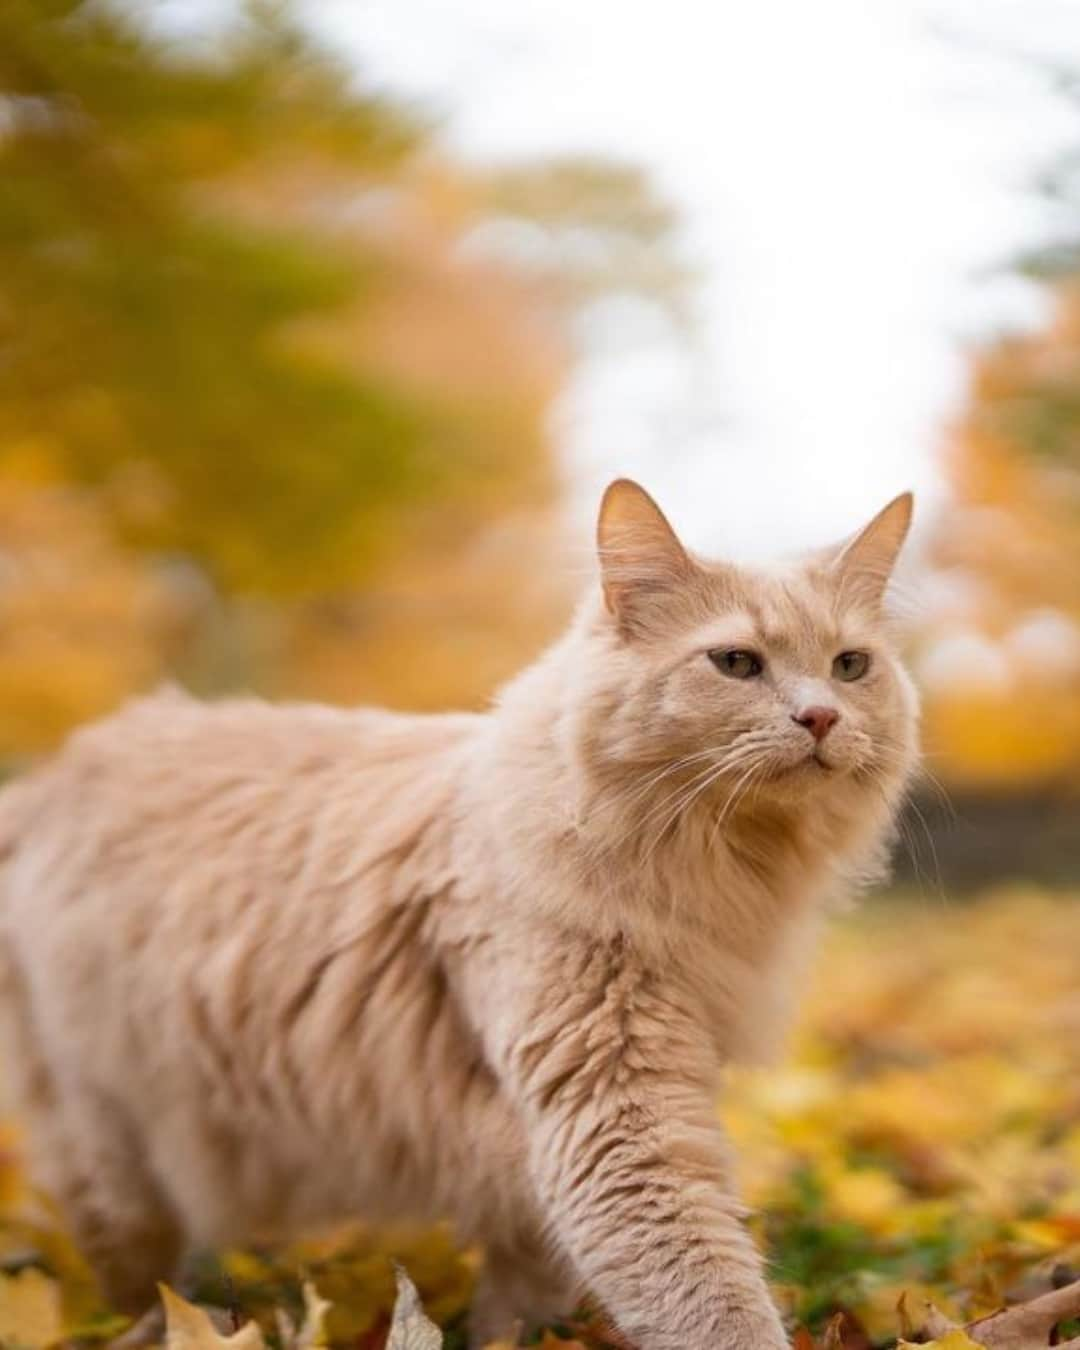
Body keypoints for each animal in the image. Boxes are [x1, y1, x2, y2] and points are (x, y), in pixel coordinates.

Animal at [0, 483, 918, 1350]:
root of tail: (50, 778)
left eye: (849, 666)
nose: (821, 716)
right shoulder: (613, 1107)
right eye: (735, 663)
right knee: (131, 1281)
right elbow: (709, 1297)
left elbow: (525, 1295)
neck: (718, 865)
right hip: (108, 1143)